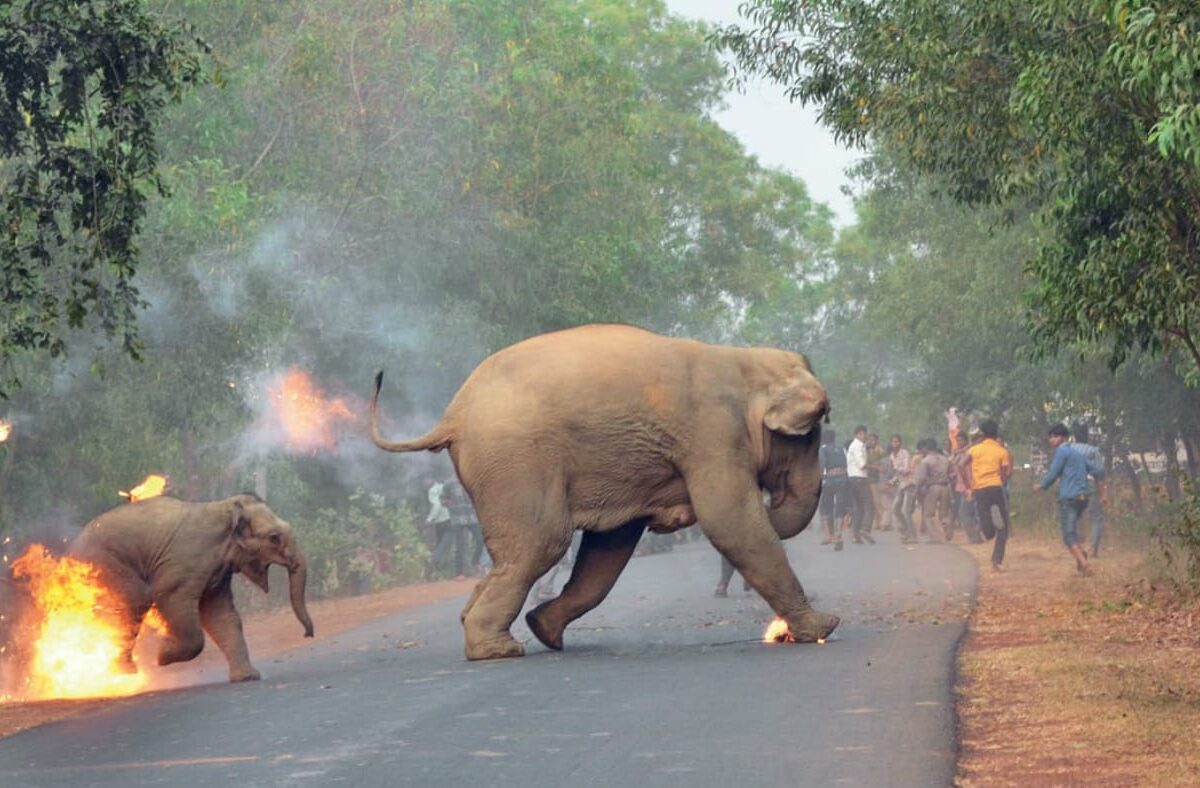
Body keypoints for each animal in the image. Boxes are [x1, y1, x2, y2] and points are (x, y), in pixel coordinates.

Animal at [68, 494, 313, 682]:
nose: (307, 634)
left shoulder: (218, 574)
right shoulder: (184, 564)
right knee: (137, 599)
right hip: (104, 564)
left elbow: (221, 615)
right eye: (274, 538)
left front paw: (248, 678)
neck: (225, 507)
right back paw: (124, 672)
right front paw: (163, 654)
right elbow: (170, 599)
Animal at [371, 323, 839, 661]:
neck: (744, 360)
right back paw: (496, 651)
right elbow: (731, 522)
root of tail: (453, 415)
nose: (773, 501)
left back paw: (498, 629)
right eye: (811, 435)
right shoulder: (713, 435)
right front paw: (824, 627)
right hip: (515, 460)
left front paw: (544, 627)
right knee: (543, 542)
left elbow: (609, 547)